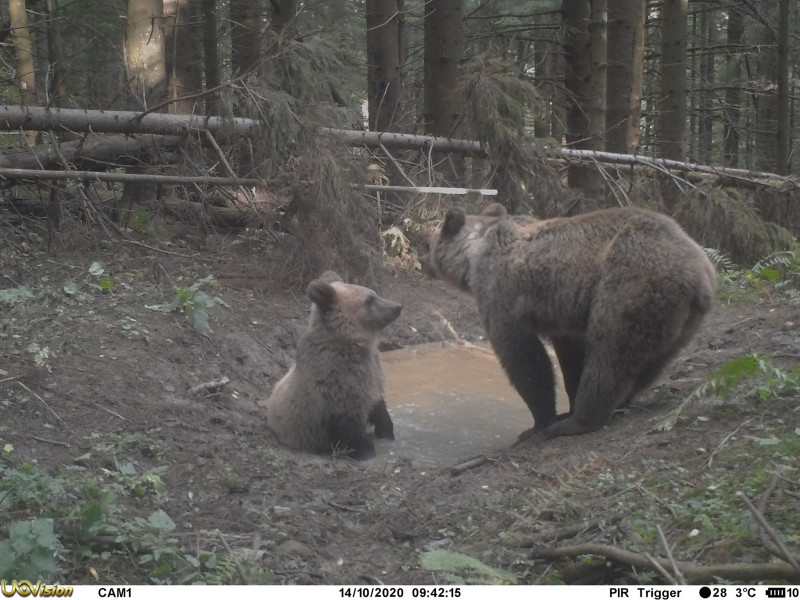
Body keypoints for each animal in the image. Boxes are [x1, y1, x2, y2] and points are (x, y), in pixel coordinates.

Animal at [264, 272, 404, 460]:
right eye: (369, 299)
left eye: (373, 294)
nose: (398, 306)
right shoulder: (335, 389)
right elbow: (350, 427)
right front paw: (366, 452)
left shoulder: (372, 376)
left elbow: (378, 406)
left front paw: (387, 432)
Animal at [422, 204, 716, 438]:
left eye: (430, 243)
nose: (422, 261)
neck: (475, 255)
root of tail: (700, 272)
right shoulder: (564, 315)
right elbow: (570, 357)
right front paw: (567, 402)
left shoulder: (500, 294)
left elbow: (523, 356)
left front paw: (539, 422)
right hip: (677, 319)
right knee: (649, 362)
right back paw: (618, 403)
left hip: (628, 284)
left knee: (609, 354)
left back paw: (577, 421)